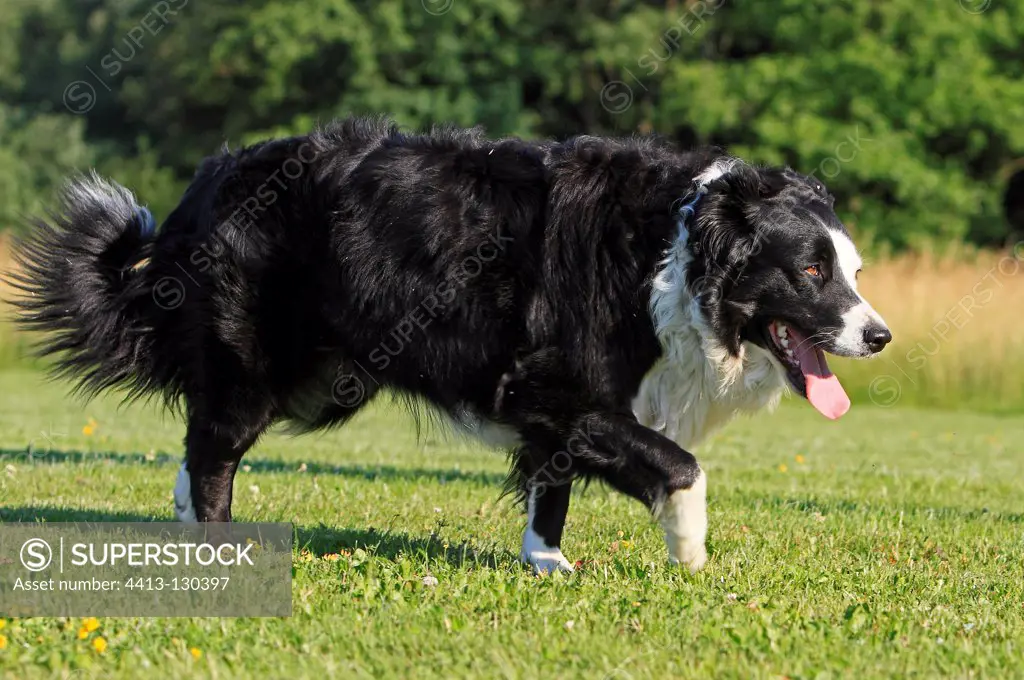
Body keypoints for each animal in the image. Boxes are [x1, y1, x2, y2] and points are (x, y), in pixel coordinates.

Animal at [9, 118, 888, 573]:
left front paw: (545, 563)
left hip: (321, 377)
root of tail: (208, 181)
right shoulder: (545, 382)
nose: (878, 334)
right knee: (215, 448)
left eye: (852, 271)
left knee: (198, 447)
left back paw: (188, 522)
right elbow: (679, 464)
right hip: (260, 362)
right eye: (811, 271)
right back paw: (220, 543)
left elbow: (552, 482)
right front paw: (690, 546)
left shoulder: (557, 400)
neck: (677, 249)